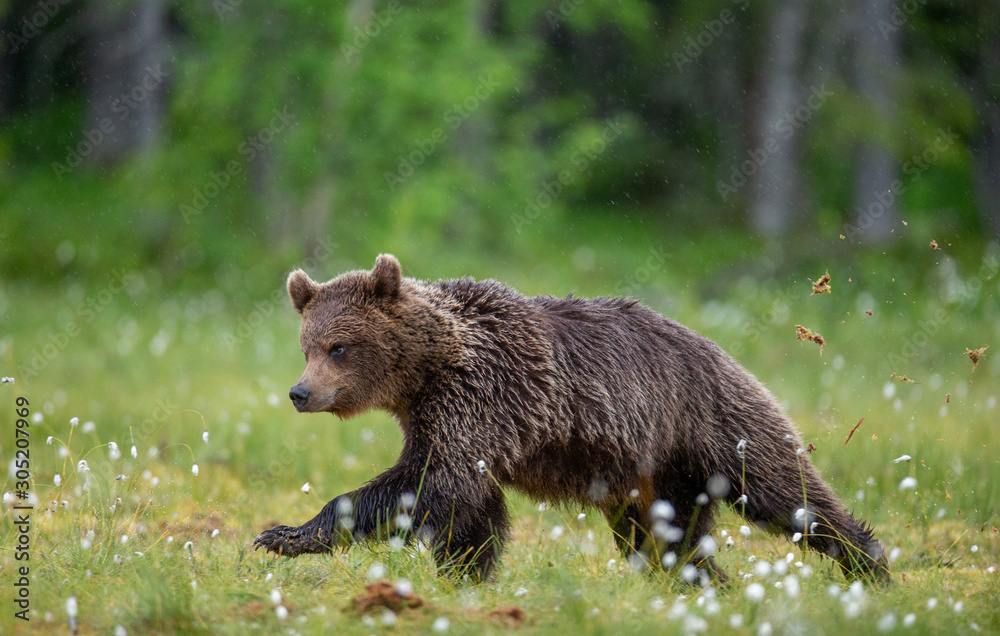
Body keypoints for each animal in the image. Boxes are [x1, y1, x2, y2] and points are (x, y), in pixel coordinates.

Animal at [253, 254, 890, 584]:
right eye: (306, 344)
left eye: (338, 347)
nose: (300, 392)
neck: (427, 371)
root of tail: (723, 350)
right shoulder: (449, 417)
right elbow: (469, 506)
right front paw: (466, 573)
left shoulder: (482, 397)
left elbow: (430, 481)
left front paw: (283, 535)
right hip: (655, 474)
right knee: (668, 536)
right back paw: (699, 585)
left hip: (711, 421)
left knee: (786, 493)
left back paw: (869, 561)